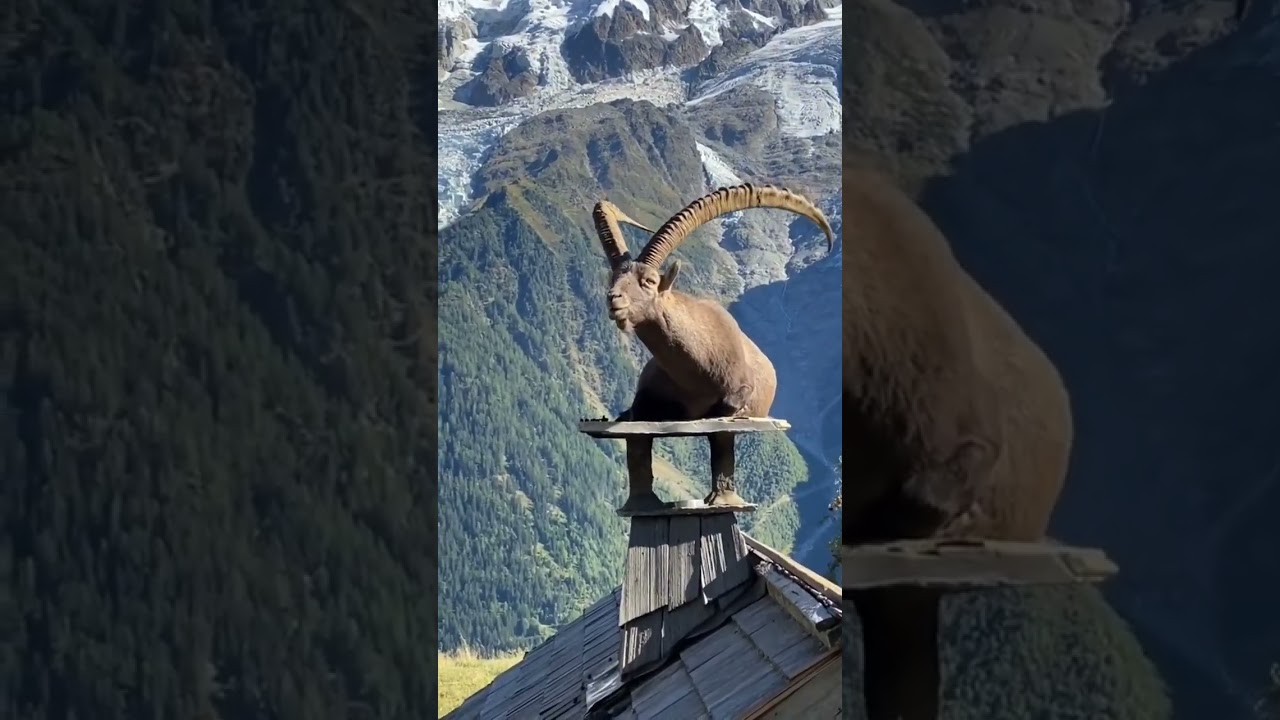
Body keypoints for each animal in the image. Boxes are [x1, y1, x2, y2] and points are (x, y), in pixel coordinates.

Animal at [592, 184, 834, 512]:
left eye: (649, 281)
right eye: (614, 276)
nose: (614, 300)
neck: (696, 373)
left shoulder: (739, 388)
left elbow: (726, 410)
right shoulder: (647, 395)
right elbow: (638, 413)